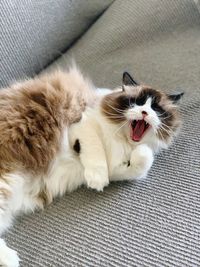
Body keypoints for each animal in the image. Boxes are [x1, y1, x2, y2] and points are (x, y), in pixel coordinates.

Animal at [0, 69, 183, 267]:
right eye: (137, 102)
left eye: (156, 109)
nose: (144, 112)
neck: (124, 141)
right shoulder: (80, 124)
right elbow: (95, 151)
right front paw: (97, 179)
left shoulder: (117, 166)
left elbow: (142, 160)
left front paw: (139, 154)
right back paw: (11, 259)